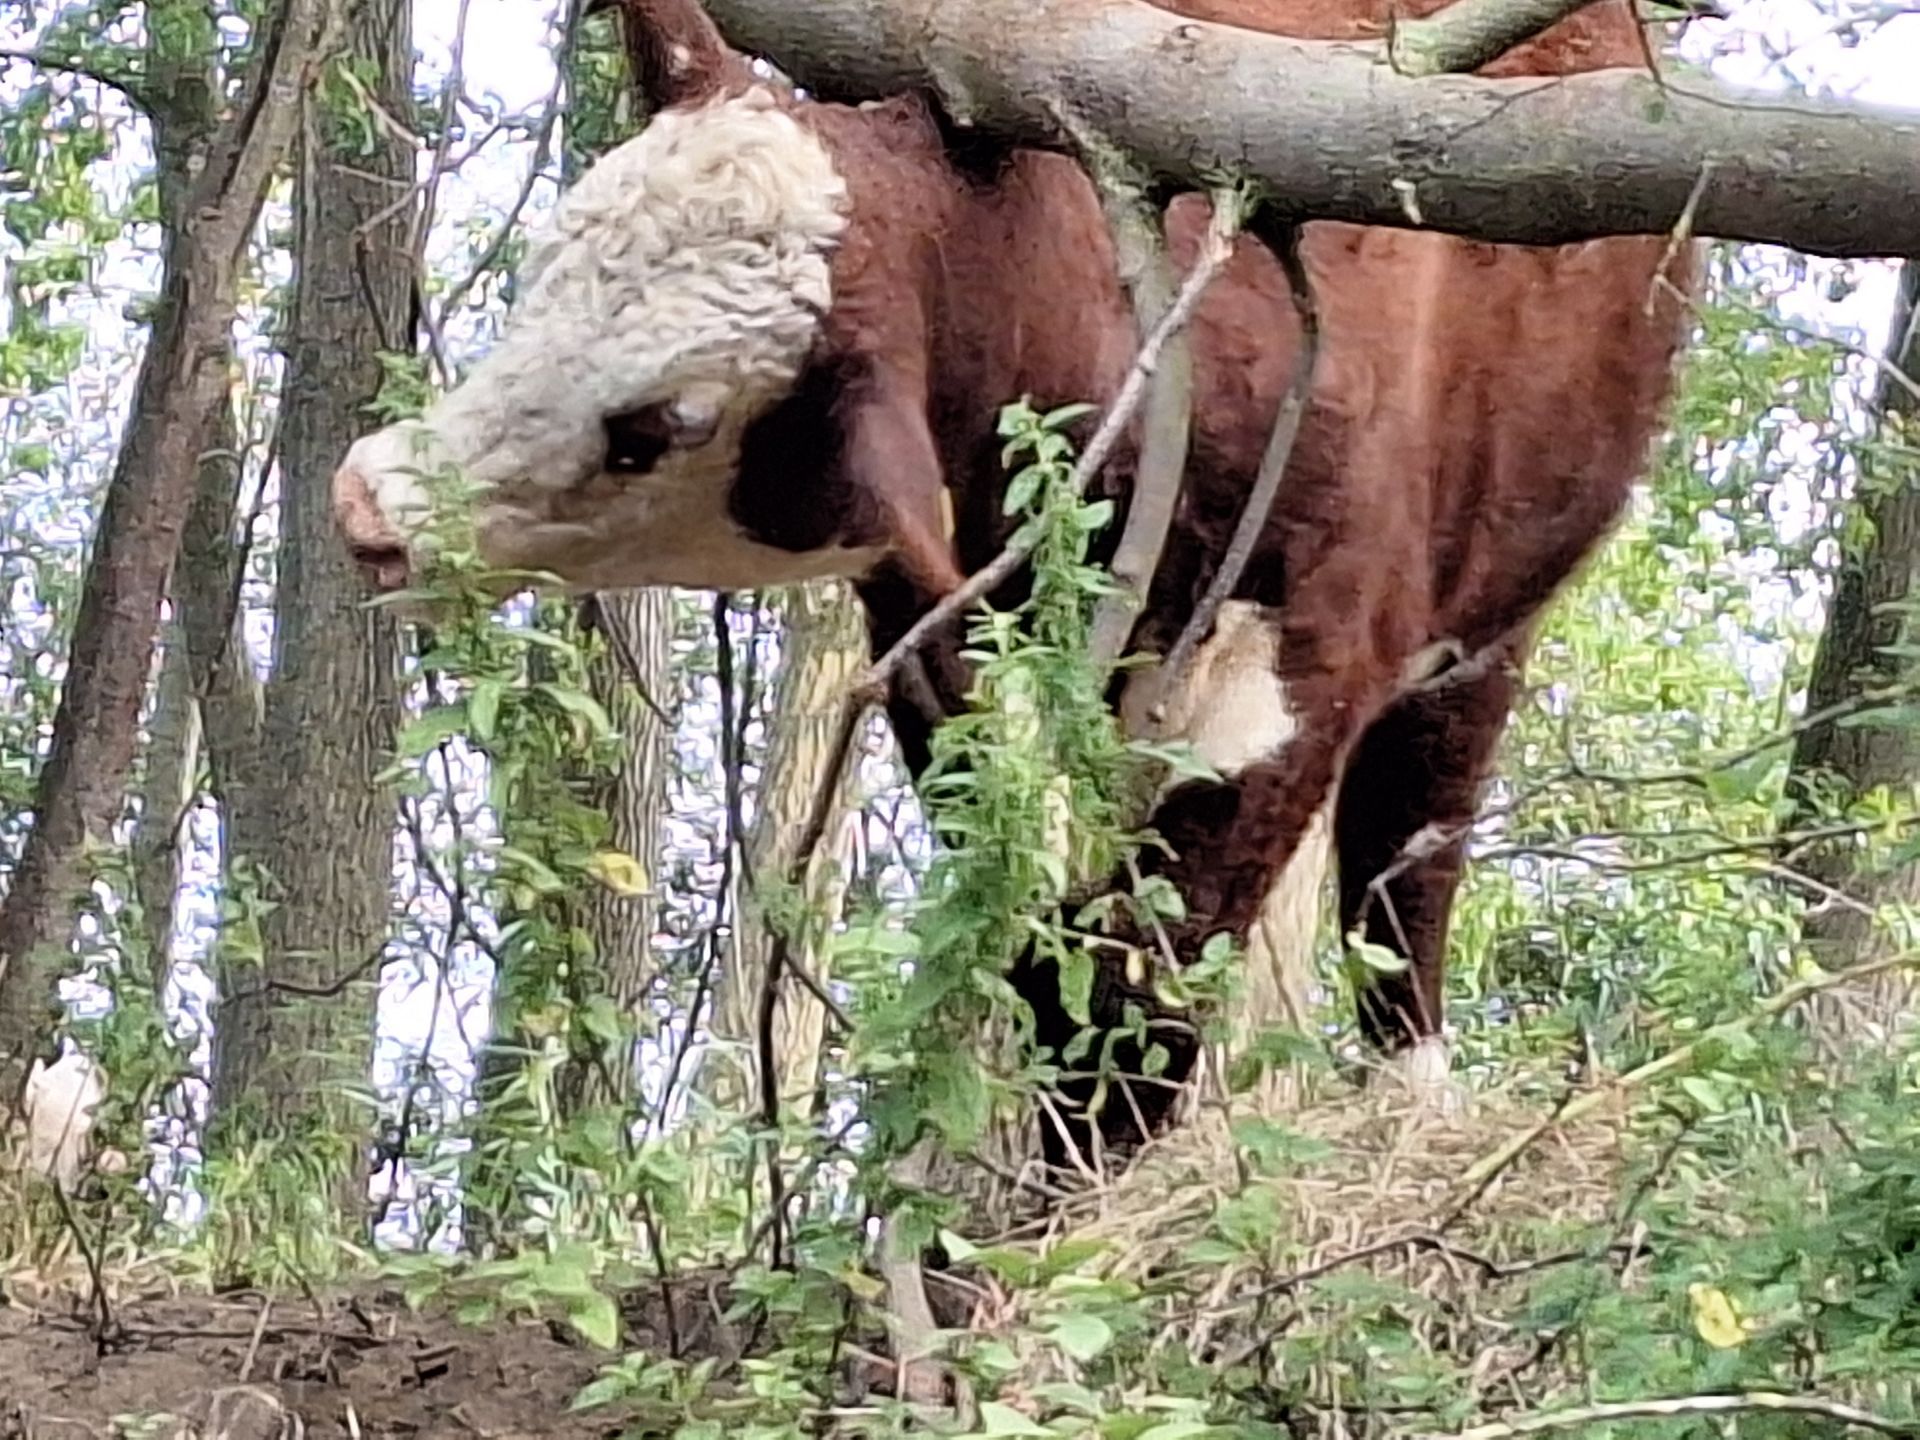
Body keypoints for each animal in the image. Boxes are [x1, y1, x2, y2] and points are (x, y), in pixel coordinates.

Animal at [330, 0, 1696, 1160]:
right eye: (553, 264)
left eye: (655, 427)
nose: (368, 506)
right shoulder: (931, 643)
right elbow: (1042, 954)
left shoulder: (1298, 674)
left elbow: (1140, 1003)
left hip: (1494, 618)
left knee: (1408, 869)